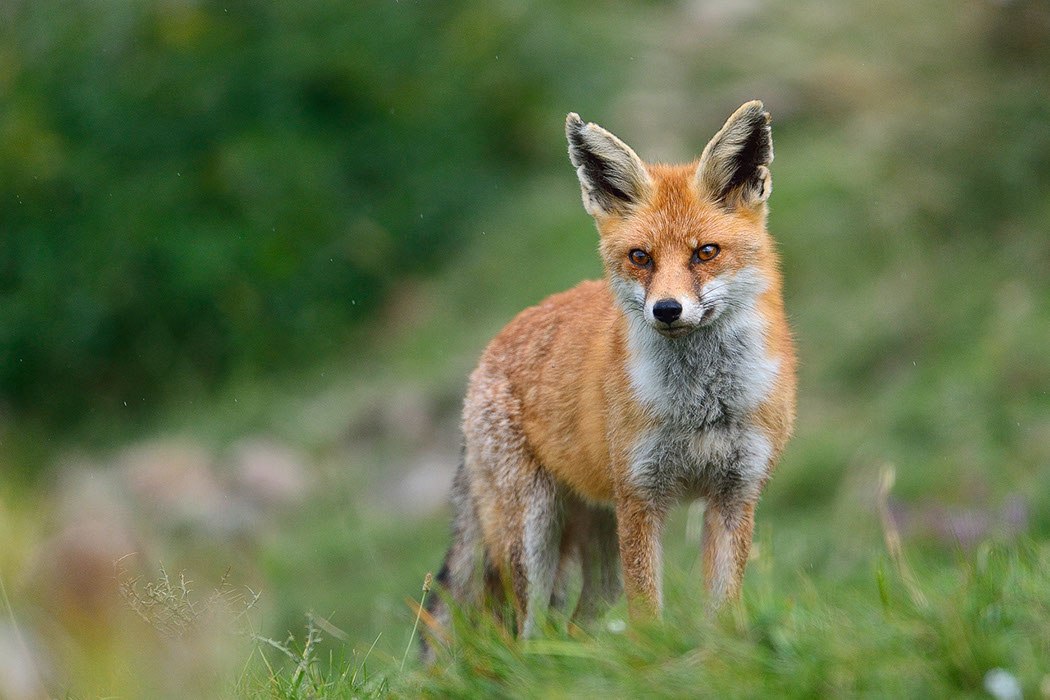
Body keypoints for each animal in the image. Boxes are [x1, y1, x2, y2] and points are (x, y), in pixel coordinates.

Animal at [422, 101, 796, 659]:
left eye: (705, 252)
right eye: (640, 257)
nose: (667, 310)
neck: (702, 407)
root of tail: (493, 347)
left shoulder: (735, 494)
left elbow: (723, 607)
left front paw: (721, 657)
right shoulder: (641, 498)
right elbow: (647, 613)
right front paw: (655, 662)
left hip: (600, 549)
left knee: (577, 624)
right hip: (532, 534)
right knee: (525, 632)